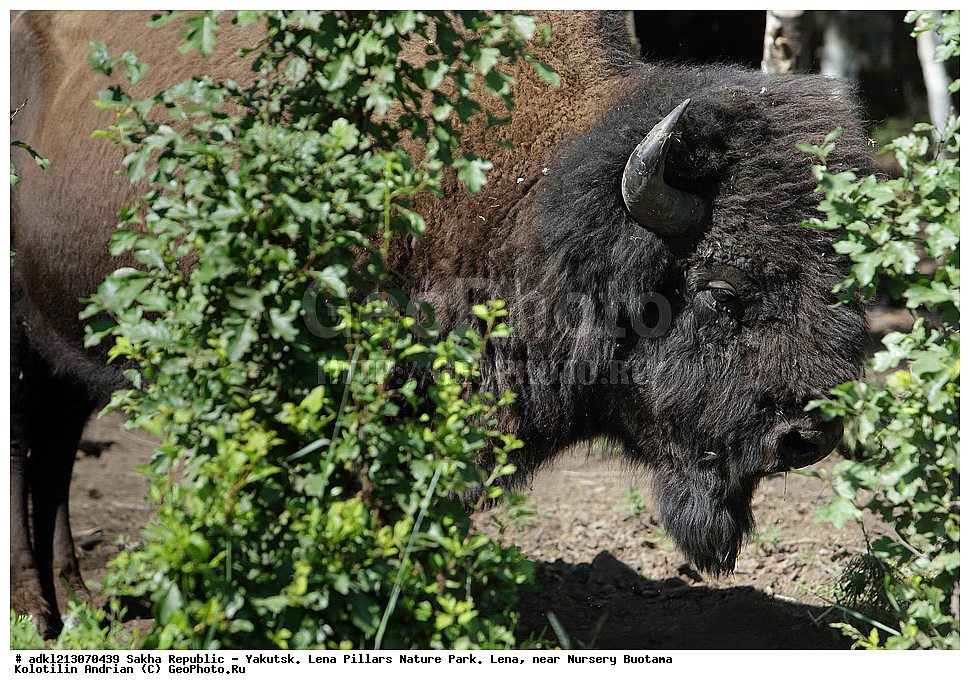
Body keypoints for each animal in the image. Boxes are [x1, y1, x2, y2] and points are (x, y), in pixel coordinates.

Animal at [10, 10, 870, 637]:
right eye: (723, 289)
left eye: (836, 277)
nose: (808, 435)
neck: (526, 192)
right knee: (29, 455)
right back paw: (41, 613)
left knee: (55, 454)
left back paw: (80, 604)